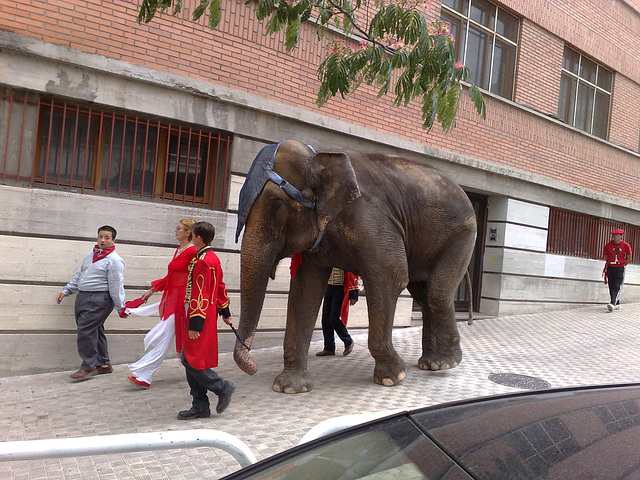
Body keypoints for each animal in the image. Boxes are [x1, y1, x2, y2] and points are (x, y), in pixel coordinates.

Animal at [234, 140, 476, 394]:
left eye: (277, 204)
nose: (253, 367)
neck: (317, 156)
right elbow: (304, 290)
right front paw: (290, 388)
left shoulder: (372, 220)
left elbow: (391, 276)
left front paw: (392, 377)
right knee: (424, 296)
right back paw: (430, 364)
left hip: (462, 234)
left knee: (437, 293)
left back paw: (446, 363)